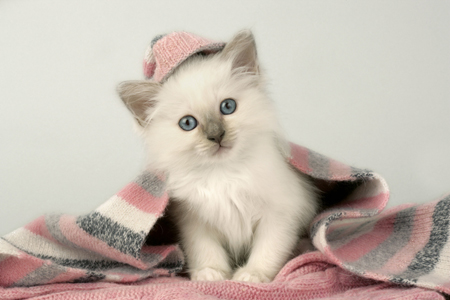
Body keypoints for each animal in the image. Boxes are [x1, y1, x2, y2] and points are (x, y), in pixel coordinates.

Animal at [118, 30, 318, 284]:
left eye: (228, 107)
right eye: (188, 123)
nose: (216, 135)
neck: (223, 174)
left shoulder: (280, 214)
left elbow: (268, 250)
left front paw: (251, 276)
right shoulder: (194, 221)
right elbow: (205, 250)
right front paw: (210, 274)